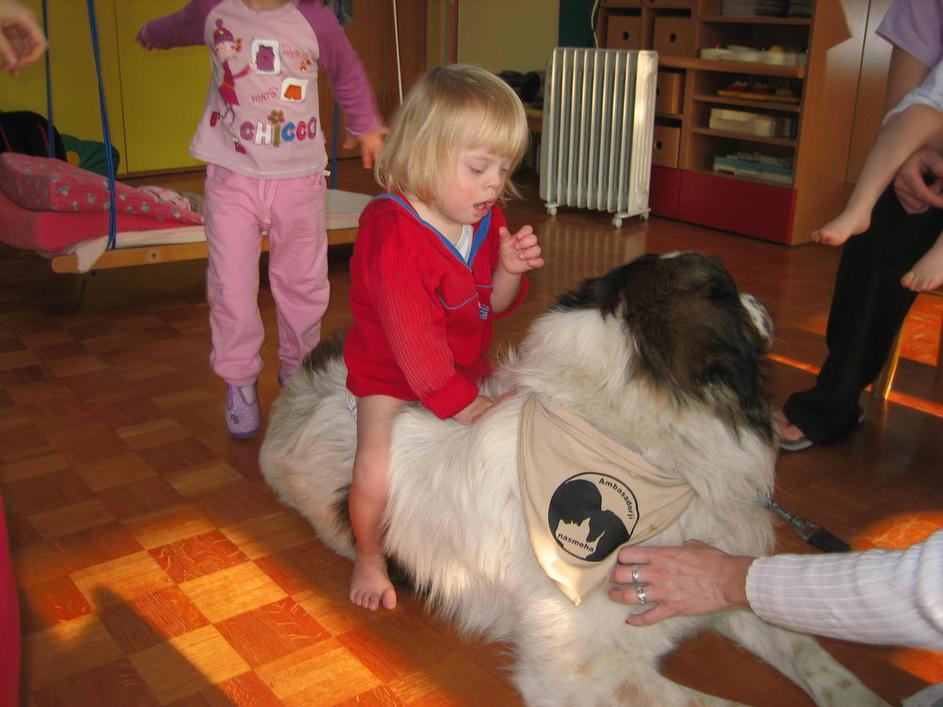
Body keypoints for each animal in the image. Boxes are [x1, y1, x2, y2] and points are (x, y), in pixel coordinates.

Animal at [260, 252, 886, 706]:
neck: (639, 448)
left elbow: (812, 653)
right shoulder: (584, 674)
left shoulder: (716, 579)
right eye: (730, 291)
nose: (762, 301)